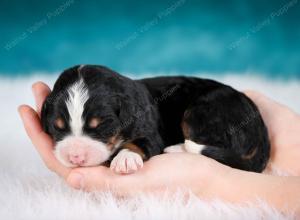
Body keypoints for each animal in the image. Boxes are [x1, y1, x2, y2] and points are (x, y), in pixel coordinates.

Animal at [41, 65, 270, 174]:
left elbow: (139, 143)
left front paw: (125, 158)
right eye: (57, 127)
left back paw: (176, 149)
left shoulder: (150, 132)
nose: (76, 157)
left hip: (201, 113)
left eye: (102, 126)